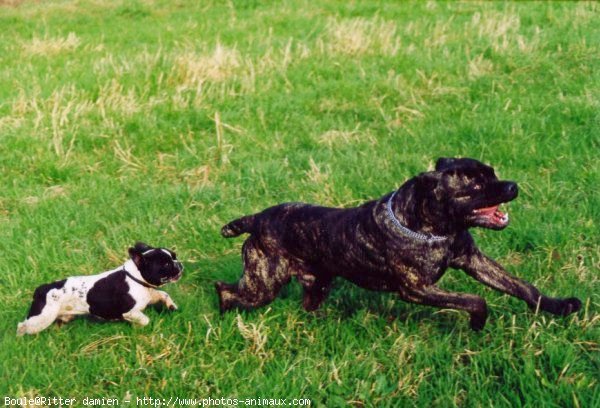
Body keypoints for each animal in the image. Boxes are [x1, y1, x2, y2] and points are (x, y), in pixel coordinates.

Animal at [18, 242, 183, 334]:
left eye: (174, 256)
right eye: (165, 264)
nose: (179, 264)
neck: (137, 279)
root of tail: (41, 289)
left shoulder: (150, 295)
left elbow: (163, 294)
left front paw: (171, 306)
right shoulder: (130, 311)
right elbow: (145, 319)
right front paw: (139, 327)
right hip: (41, 318)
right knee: (23, 326)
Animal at [217, 158, 580, 330]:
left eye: (491, 172)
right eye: (476, 185)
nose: (513, 186)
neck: (435, 228)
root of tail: (258, 218)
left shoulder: (474, 260)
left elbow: (522, 287)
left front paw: (560, 306)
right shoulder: (417, 289)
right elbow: (475, 300)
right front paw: (478, 323)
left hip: (317, 283)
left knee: (308, 303)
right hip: (262, 286)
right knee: (225, 289)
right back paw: (223, 314)